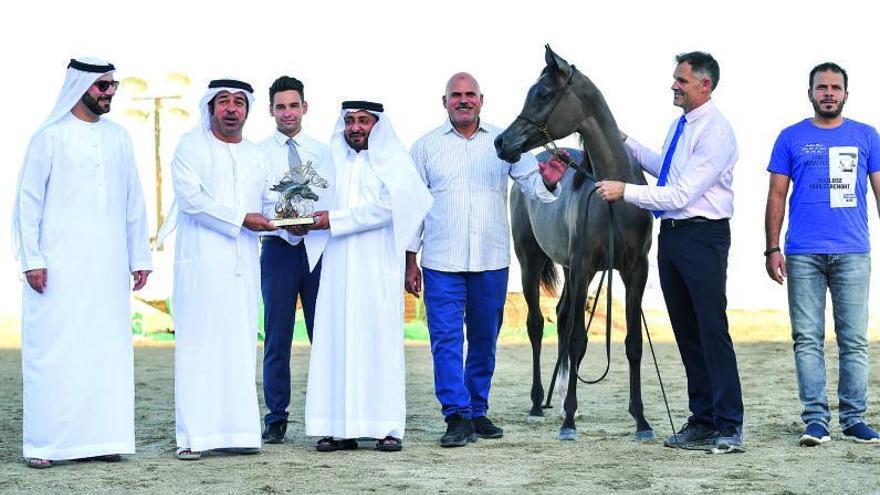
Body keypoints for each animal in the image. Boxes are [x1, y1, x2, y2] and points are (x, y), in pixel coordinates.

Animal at [496, 46, 652, 442]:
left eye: (543, 94)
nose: (501, 142)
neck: (615, 195)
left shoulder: (635, 272)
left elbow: (632, 343)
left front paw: (641, 421)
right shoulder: (584, 268)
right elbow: (579, 339)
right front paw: (568, 419)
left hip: (568, 269)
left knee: (563, 317)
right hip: (531, 261)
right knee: (538, 325)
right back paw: (539, 403)